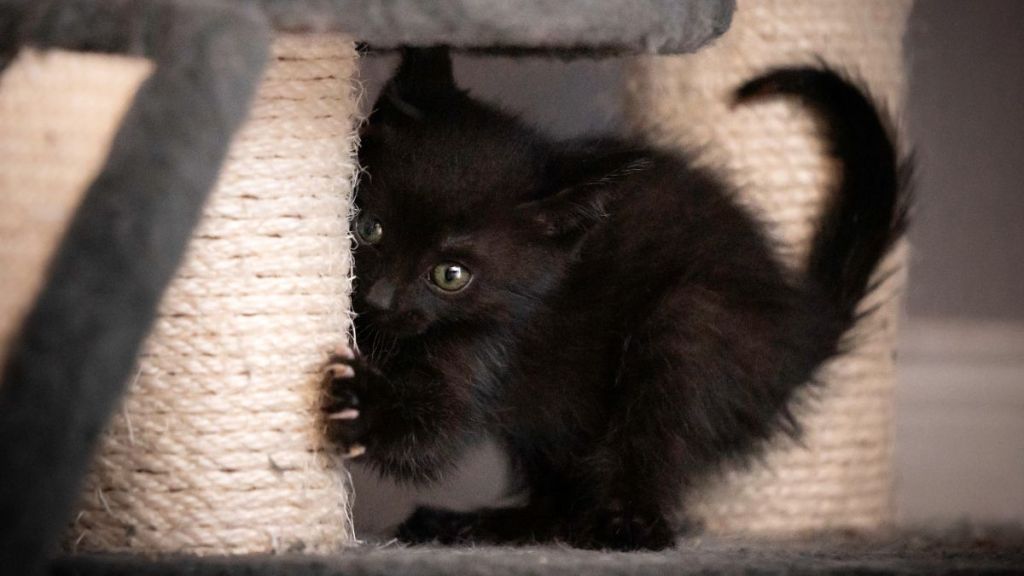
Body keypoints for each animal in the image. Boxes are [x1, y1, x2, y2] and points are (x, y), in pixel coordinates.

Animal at [323, 48, 909, 545]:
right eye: (368, 228)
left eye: (451, 274)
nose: (380, 298)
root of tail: (801, 321)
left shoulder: (498, 342)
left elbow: (430, 435)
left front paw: (360, 401)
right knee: (560, 494)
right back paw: (476, 525)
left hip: (695, 321)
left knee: (653, 436)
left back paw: (627, 527)